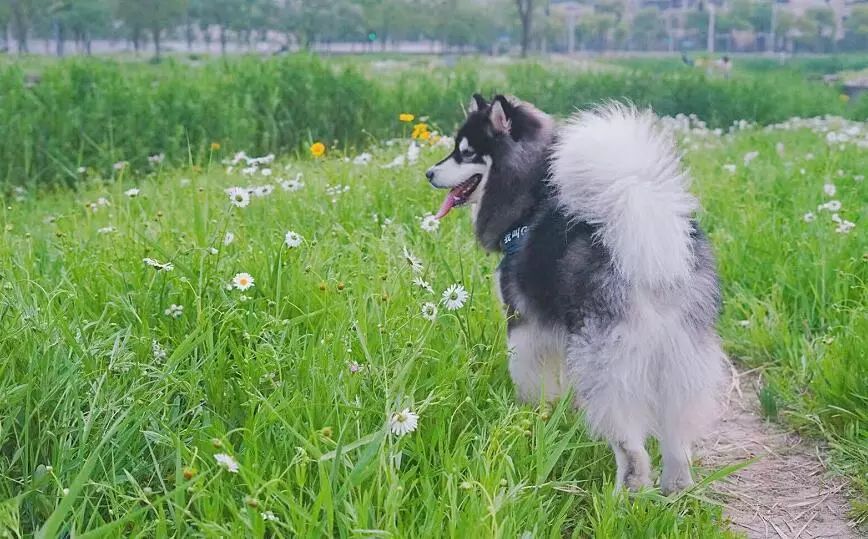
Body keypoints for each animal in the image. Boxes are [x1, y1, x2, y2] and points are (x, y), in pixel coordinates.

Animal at [428, 94, 724, 494]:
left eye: (466, 153)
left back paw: (623, 495)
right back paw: (675, 489)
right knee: (677, 436)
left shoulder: (524, 325)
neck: (532, 198)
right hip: (680, 357)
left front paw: (528, 414)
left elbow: (528, 377)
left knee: (632, 449)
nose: (428, 173)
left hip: (605, 366)